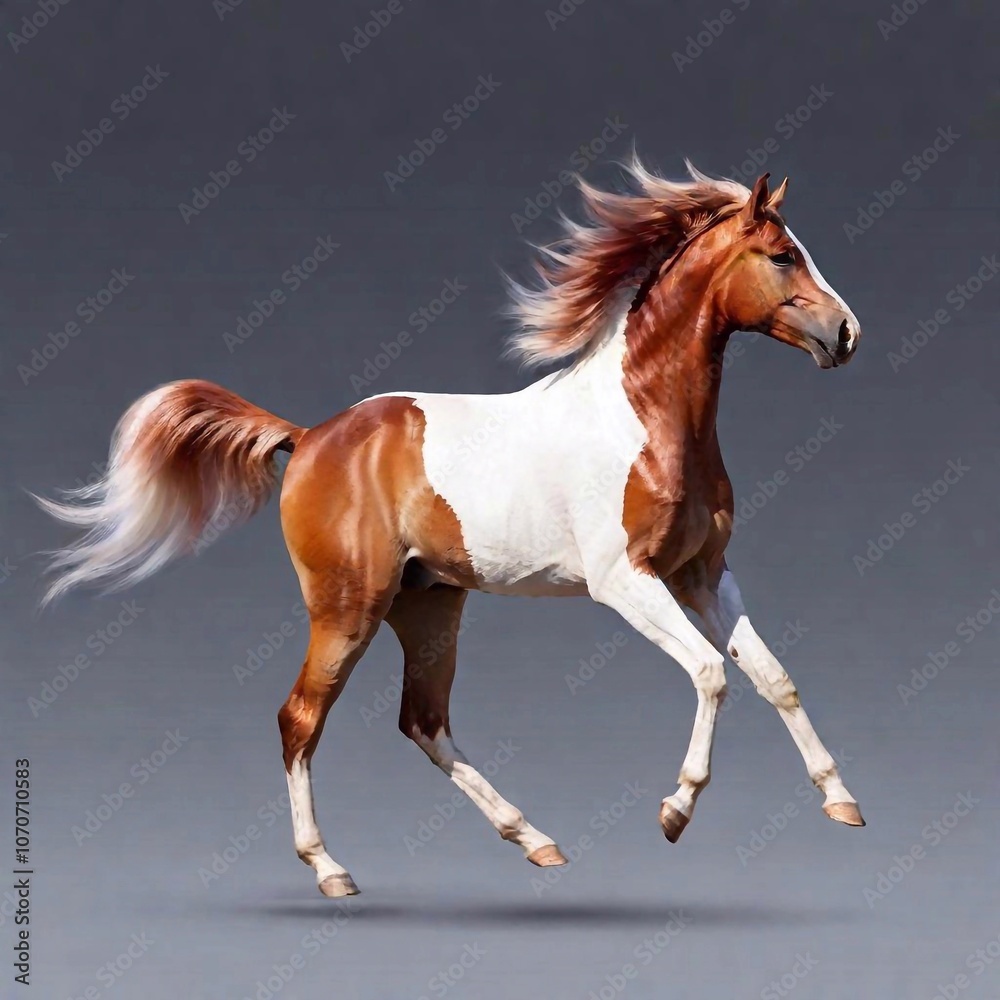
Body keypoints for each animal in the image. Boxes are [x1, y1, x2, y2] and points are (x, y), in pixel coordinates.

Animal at [38, 161, 864, 898]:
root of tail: (308, 438)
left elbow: (773, 677)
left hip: (429, 604)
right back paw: (331, 869)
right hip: (348, 608)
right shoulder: (625, 581)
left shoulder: (703, 573)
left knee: (423, 722)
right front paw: (675, 810)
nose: (846, 333)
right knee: (300, 718)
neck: (647, 422)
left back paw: (534, 840)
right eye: (782, 254)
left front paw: (842, 801)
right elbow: (711, 673)